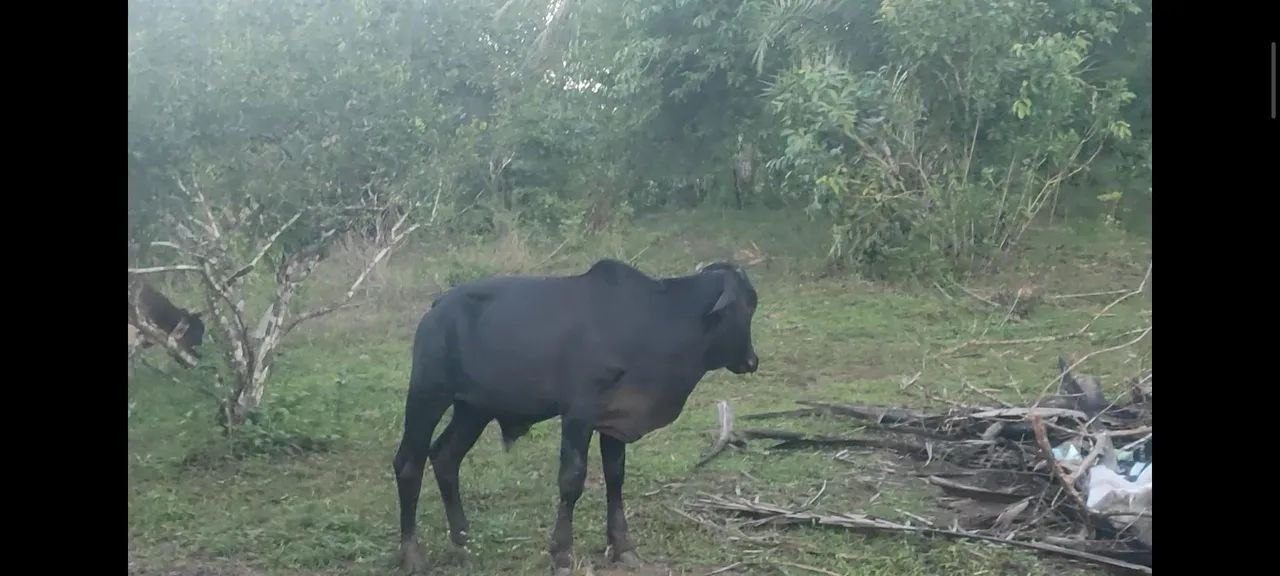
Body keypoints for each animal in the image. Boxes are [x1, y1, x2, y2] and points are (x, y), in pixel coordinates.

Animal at [392, 259, 760, 575]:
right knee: (408, 463)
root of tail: (439, 305)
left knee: (445, 456)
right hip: (428, 395)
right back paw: (412, 554)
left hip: (473, 409)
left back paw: (463, 540)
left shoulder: (616, 420)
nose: (752, 361)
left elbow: (615, 476)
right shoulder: (578, 414)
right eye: (748, 305)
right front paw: (562, 554)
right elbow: (571, 481)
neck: (654, 320)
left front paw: (623, 546)